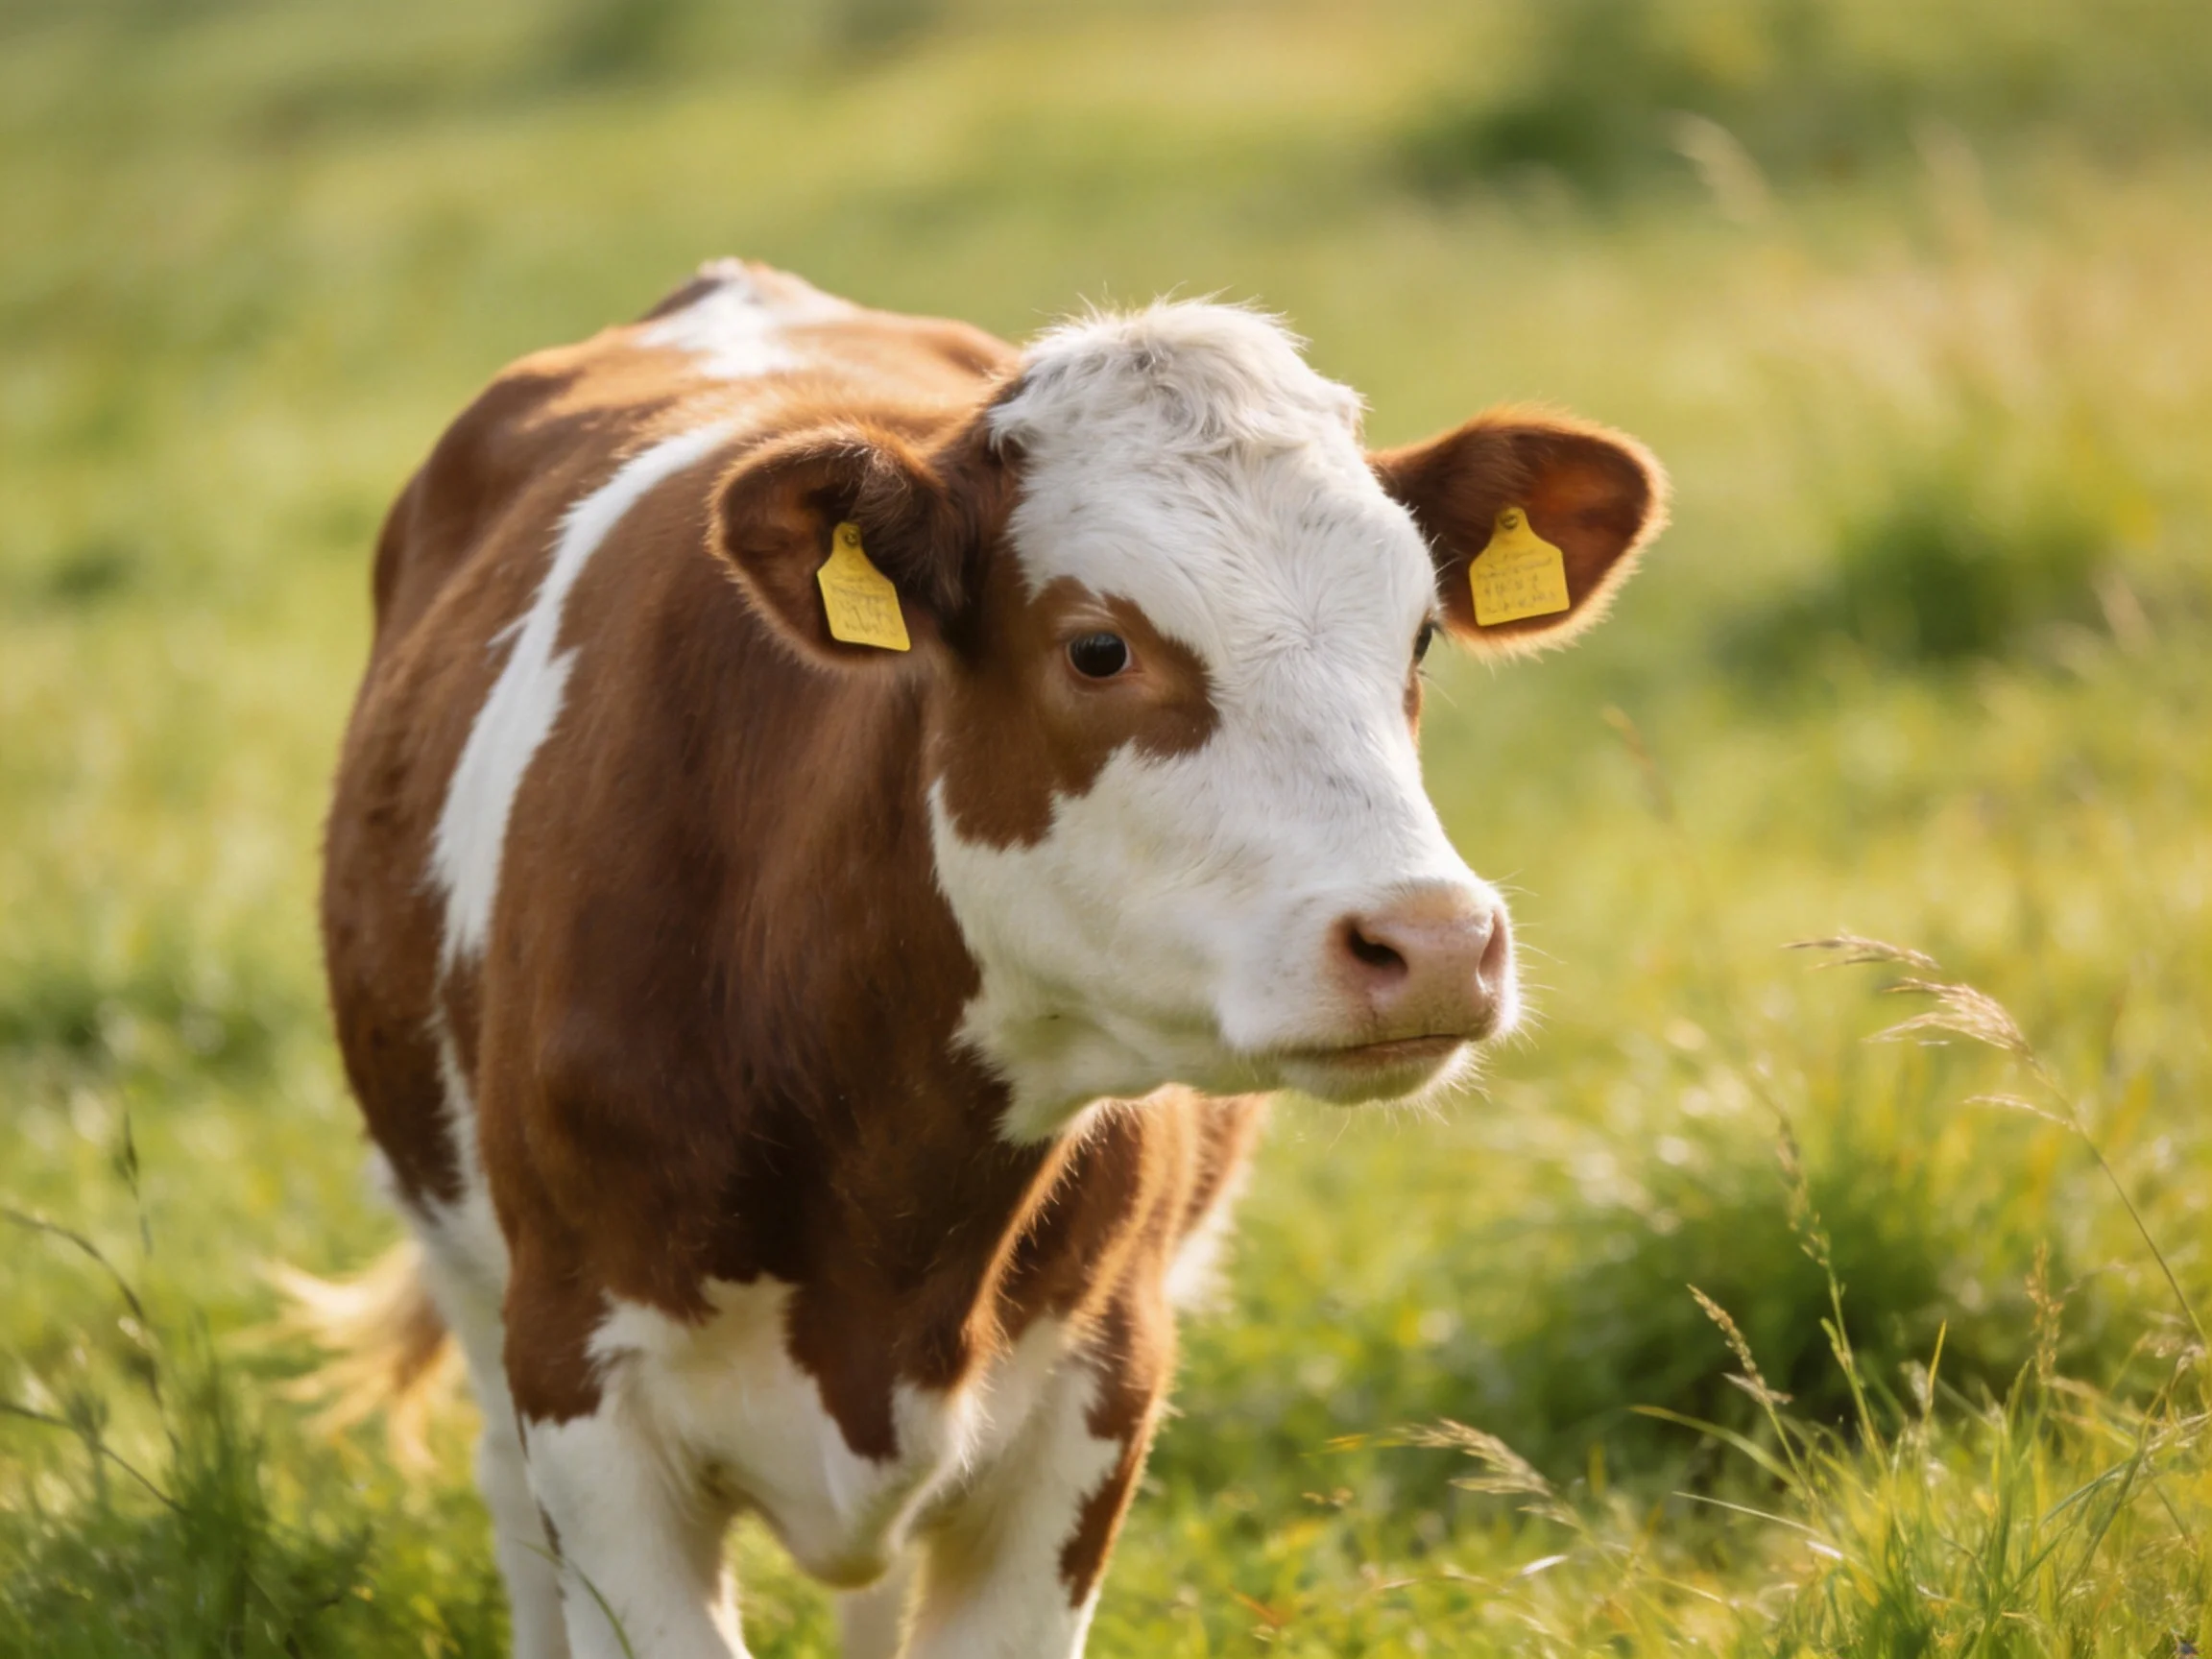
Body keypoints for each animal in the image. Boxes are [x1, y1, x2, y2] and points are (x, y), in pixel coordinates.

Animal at [310, 258, 1665, 1659]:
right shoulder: (588, 1397)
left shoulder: (1096, 1396)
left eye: (1418, 639)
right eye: (1098, 646)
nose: (1435, 940)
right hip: (470, 1280)